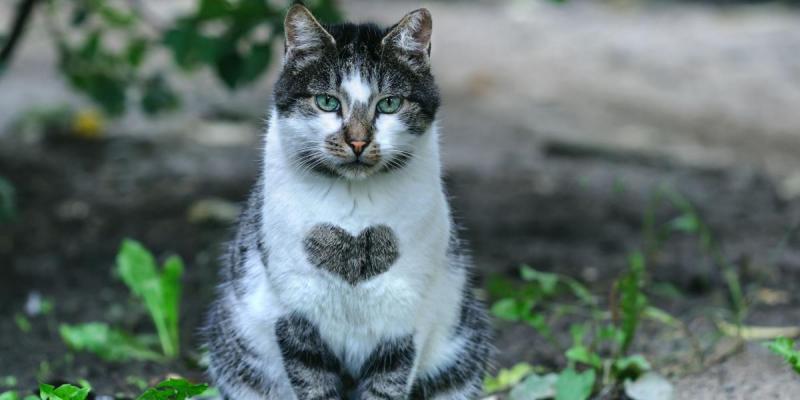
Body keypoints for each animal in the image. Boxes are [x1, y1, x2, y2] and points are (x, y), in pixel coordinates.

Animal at [203, 3, 490, 400]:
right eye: (327, 102)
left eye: (389, 104)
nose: (357, 141)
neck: (354, 209)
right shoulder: (294, 316)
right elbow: (313, 385)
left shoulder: (404, 322)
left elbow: (386, 386)